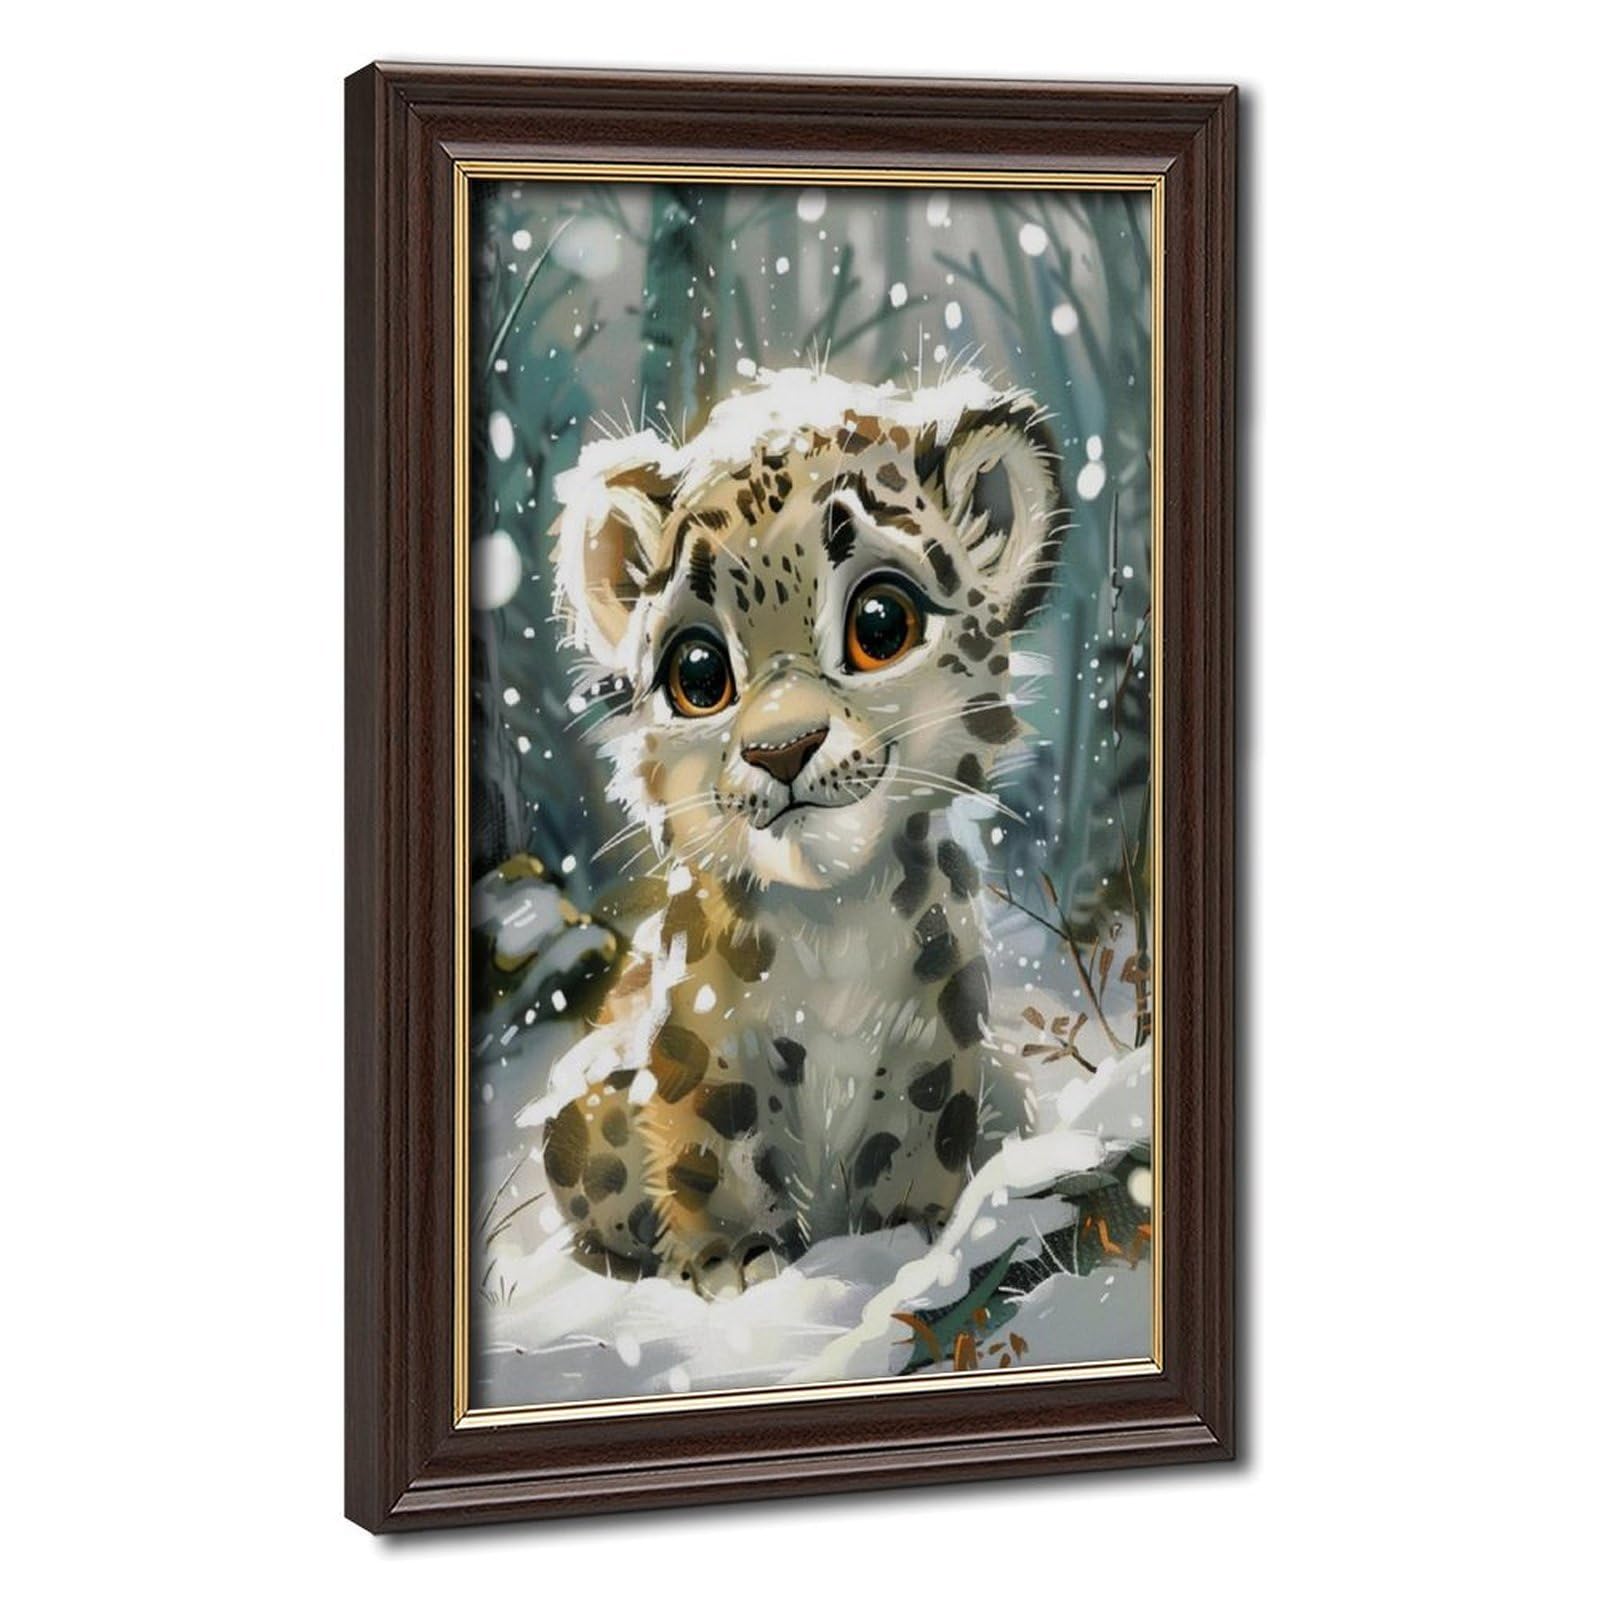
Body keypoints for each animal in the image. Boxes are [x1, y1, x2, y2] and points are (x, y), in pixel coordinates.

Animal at [531, 366, 1069, 1298]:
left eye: (882, 622)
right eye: (698, 672)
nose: (780, 747)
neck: (835, 928)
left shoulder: (939, 1037)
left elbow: (917, 1144)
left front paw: (908, 1243)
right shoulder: (700, 1045)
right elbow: (709, 1152)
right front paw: (739, 1263)